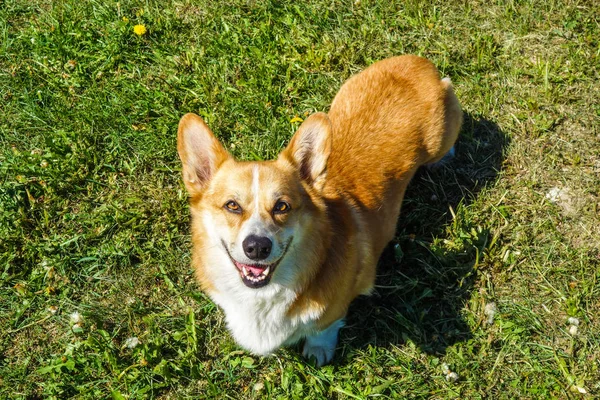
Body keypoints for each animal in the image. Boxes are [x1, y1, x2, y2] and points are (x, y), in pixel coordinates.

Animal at [176, 55, 462, 366]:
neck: (268, 294)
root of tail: (420, 63)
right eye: (232, 205)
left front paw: (318, 351)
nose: (257, 247)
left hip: (440, 138)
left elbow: (323, 329)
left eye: (282, 206)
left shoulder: (334, 310)